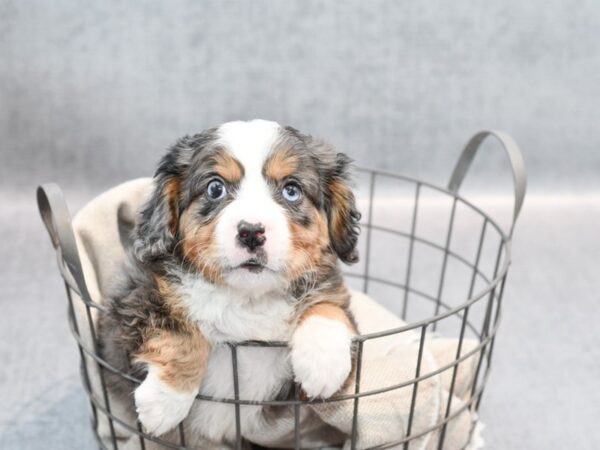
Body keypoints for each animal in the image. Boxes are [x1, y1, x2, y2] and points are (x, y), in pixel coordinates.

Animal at [99, 119, 360, 446]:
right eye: (215, 188)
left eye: (291, 190)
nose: (251, 232)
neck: (247, 297)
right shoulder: (134, 296)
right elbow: (180, 328)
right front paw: (164, 401)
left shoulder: (328, 287)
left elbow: (329, 306)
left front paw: (323, 364)